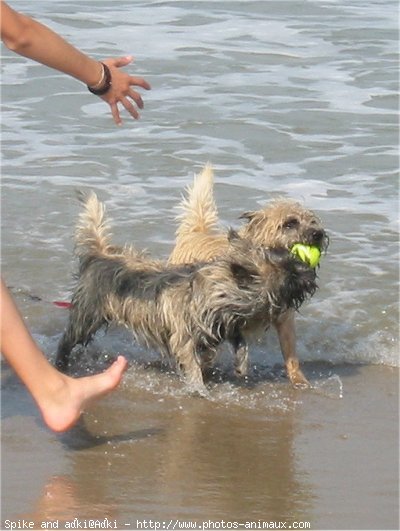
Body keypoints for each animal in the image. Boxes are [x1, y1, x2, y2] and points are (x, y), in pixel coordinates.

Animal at [56, 193, 318, 392]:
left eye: (292, 260)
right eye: (290, 272)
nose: (310, 271)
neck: (215, 294)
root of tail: (99, 255)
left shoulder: (227, 326)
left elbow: (239, 343)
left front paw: (241, 366)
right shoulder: (184, 338)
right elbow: (192, 364)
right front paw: (199, 389)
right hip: (87, 316)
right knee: (68, 339)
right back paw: (61, 363)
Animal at [168, 164, 328, 388]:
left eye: (313, 221)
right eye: (289, 223)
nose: (318, 234)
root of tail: (196, 232)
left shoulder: (285, 320)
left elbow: (291, 356)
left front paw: (299, 380)